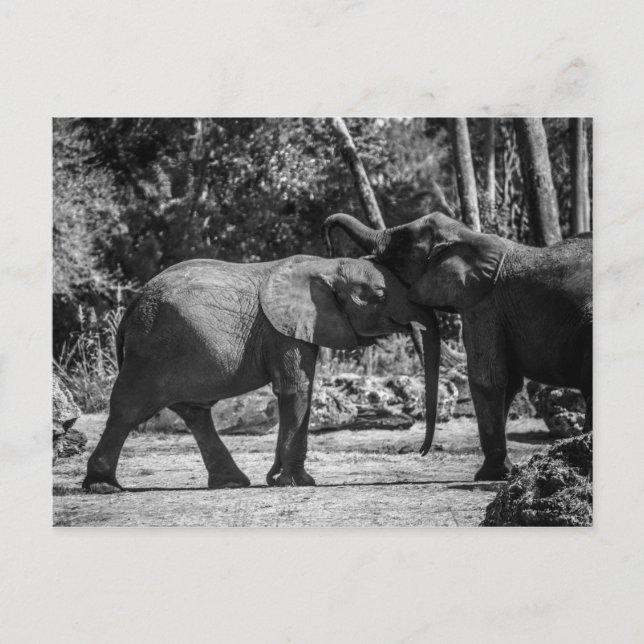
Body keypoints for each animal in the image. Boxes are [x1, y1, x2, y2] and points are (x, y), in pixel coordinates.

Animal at [82, 255, 439, 492]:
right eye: (380, 297)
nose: (421, 452)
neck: (325, 265)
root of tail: (130, 307)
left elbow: (298, 390)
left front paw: (280, 479)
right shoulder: (283, 330)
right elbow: (296, 389)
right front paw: (297, 483)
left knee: (194, 412)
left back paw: (231, 483)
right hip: (153, 348)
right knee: (129, 408)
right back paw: (103, 487)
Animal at [322, 212, 592, 481]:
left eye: (402, 243)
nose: (421, 452)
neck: (466, 236)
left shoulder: (483, 306)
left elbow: (487, 379)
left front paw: (488, 476)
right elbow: (511, 383)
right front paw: (502, 472)